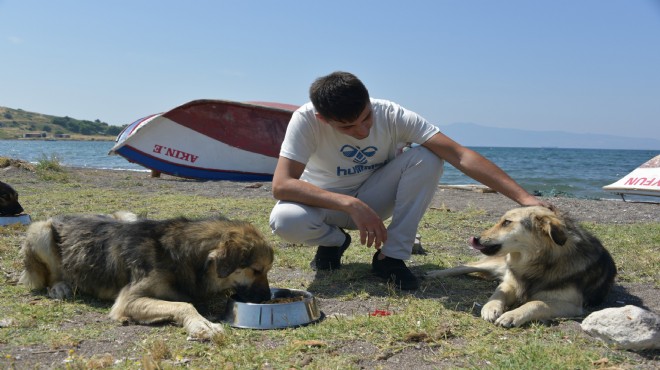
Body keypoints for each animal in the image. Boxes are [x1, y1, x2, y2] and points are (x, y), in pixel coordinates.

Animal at [20, 212, 274, 340]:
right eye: (257, 270)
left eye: (266, 271)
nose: (268, 297)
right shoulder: (128, 300)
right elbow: (184, 305)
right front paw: (202, 324)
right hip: (40, 230)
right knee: (50, 276)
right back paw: (59, 287)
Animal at [426, 207, 616, 328]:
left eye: (506, 222)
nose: (476, 238)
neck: (538, 263)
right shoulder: (511, 282)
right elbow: (498, 293)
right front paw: (490, 307)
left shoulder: (572, 305)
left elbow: (536, 302)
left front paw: (512, 315)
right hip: (496, 264)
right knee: (467, 265)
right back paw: (435, 273)